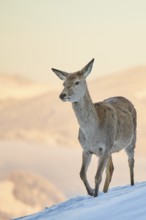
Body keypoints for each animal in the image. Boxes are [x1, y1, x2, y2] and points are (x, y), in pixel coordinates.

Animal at [51, 58, 137, 198]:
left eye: (77, 82)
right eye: (63, 83)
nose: (62, 95)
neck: (93, 133)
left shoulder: (105, 147)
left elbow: (97, 176)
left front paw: (95, 195)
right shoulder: (86, 149)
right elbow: (82, 173)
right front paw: (91, 192)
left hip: (131, 139)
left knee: (130, 161)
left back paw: (132, 185)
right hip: (111, 150)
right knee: (110, 169)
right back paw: (105, 191)